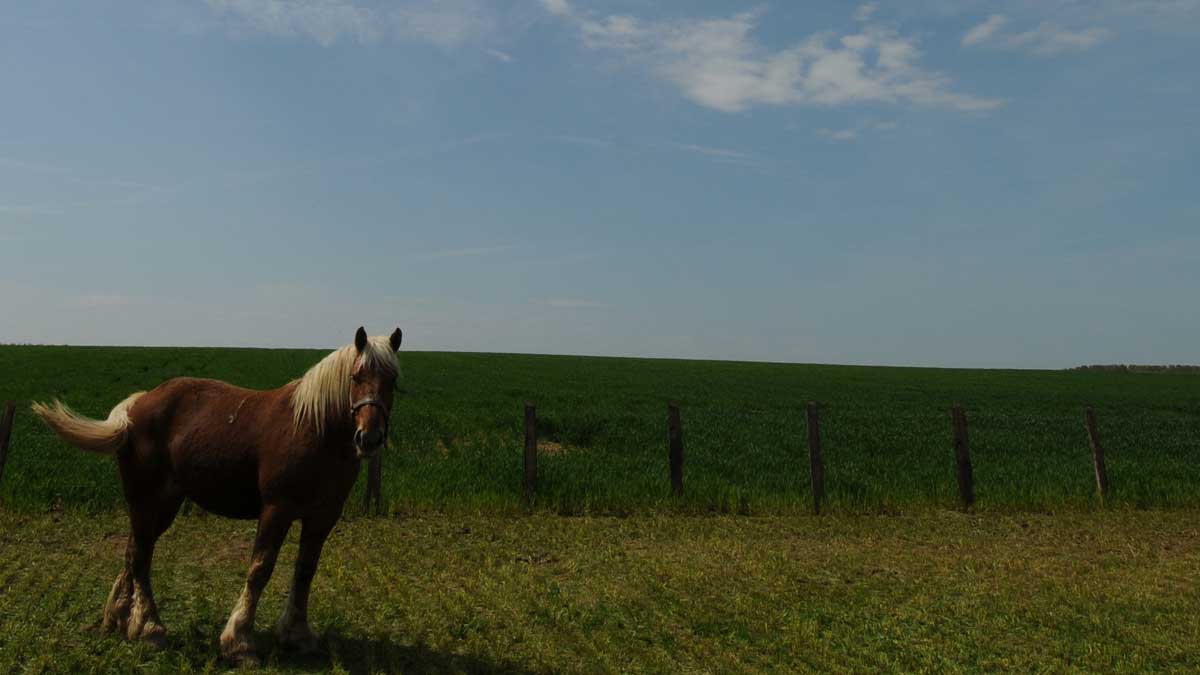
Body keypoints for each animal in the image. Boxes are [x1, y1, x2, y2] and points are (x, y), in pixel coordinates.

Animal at [28, 326, 400, 662]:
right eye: (356, 376)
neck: (313, 427)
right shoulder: (276, 510)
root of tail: (136, 406)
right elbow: (260, 570)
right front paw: (240, 642)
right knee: (142, 557)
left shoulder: (322, 517)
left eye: (393, 381)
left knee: (133, 551)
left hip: (159, 505)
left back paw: (121, 619)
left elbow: (305, 571)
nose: (369, 437)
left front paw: (296, 635)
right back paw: (149, 628)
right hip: (149, 500)